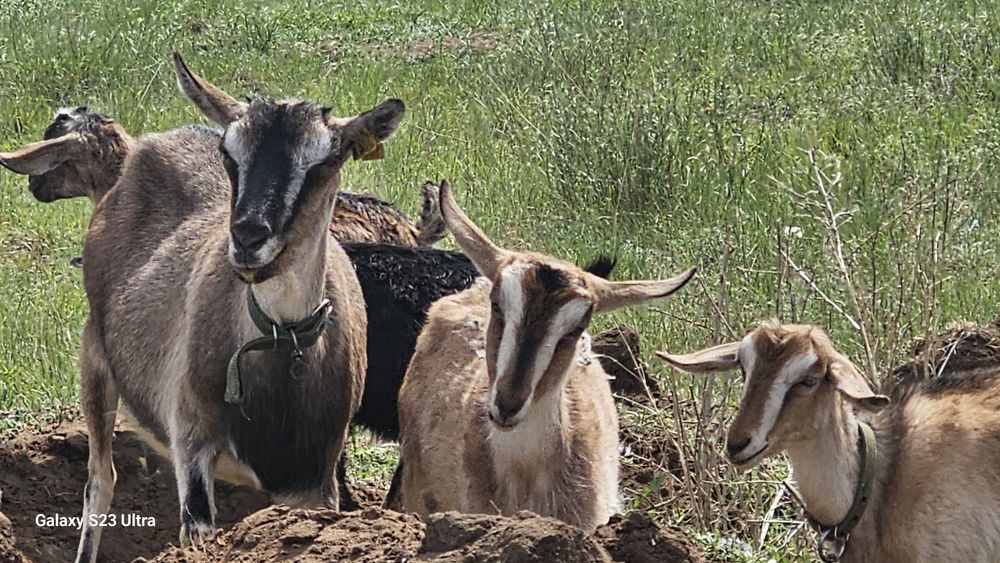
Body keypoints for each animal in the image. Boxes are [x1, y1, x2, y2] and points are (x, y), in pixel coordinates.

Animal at [73, 53, 404, 563]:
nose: (249, 238)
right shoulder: (193, 441)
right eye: (231, 154)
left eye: (325, 160)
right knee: (100, 481)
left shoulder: (313, 480)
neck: (281, 342)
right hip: (95, 358)